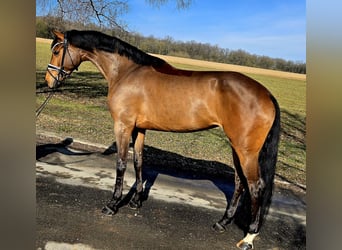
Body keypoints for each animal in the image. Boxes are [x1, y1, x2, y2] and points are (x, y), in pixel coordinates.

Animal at [44, 30, 280, 249]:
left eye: (56, 51)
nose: (48, 81)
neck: (126, 72)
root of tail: (267, 94)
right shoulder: (139, 129)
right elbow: (138, 161)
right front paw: (136, 201)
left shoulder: (123, 126)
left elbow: (121, 164)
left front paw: (112, 204)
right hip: (236, 147)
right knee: (240, 182)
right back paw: (222, 223)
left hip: (246, 151)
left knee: (255, 186)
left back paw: (249, 237)